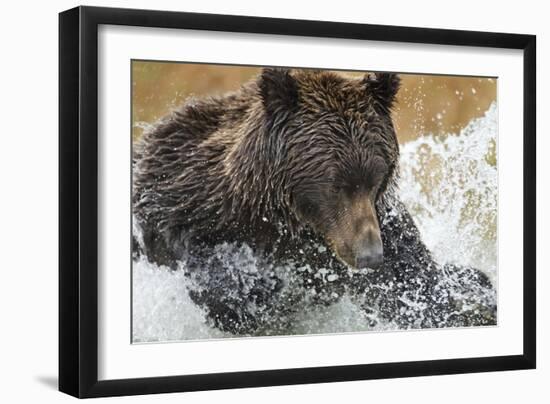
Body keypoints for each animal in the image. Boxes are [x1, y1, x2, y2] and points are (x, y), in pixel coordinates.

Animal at [132, 68, 498, 334]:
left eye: (375, 178)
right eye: (336, 184)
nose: (370, 255)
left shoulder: (382, 223)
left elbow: (414, 284)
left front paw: (473, 297)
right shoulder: (179, 201)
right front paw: (256, 289)